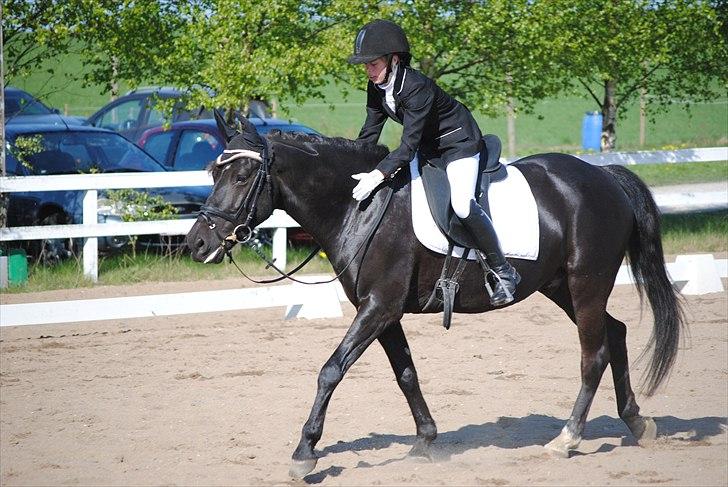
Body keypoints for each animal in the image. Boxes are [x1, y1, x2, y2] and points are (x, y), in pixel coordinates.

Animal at [186, 114, 685, 478]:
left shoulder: (378, 307)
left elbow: (331, 371)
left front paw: (305, 451)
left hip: (585, 284)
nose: (197, 243)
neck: (358, 206)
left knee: (593, 355)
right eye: (214, 171)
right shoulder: (382, 311)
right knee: (615, 334)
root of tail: (605, 177)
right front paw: (426, 440)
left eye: (243, 174)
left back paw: (567, 439)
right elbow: (406, 374)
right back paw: (637, 422)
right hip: (561, 286)